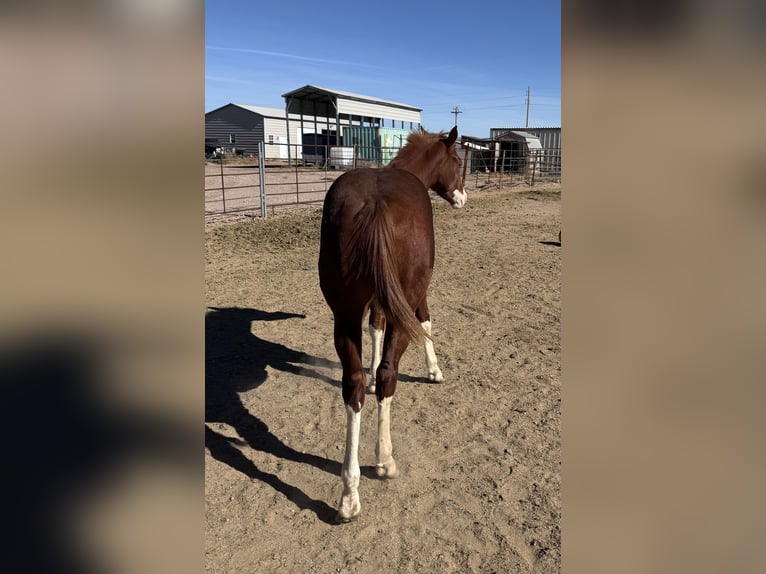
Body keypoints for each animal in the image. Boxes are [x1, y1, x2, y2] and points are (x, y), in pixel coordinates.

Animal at [318, 126, 467, 522]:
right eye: (458, 161)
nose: (463, 197)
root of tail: (376, 201)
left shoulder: (376, 301)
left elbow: (375, 327)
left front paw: (369, 374)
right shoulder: (414, 297)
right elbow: (426, 323)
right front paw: (434, 370)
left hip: (343, 314)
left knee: (352, 386)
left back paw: (349, 493)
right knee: (389, 374)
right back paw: (384, 461)